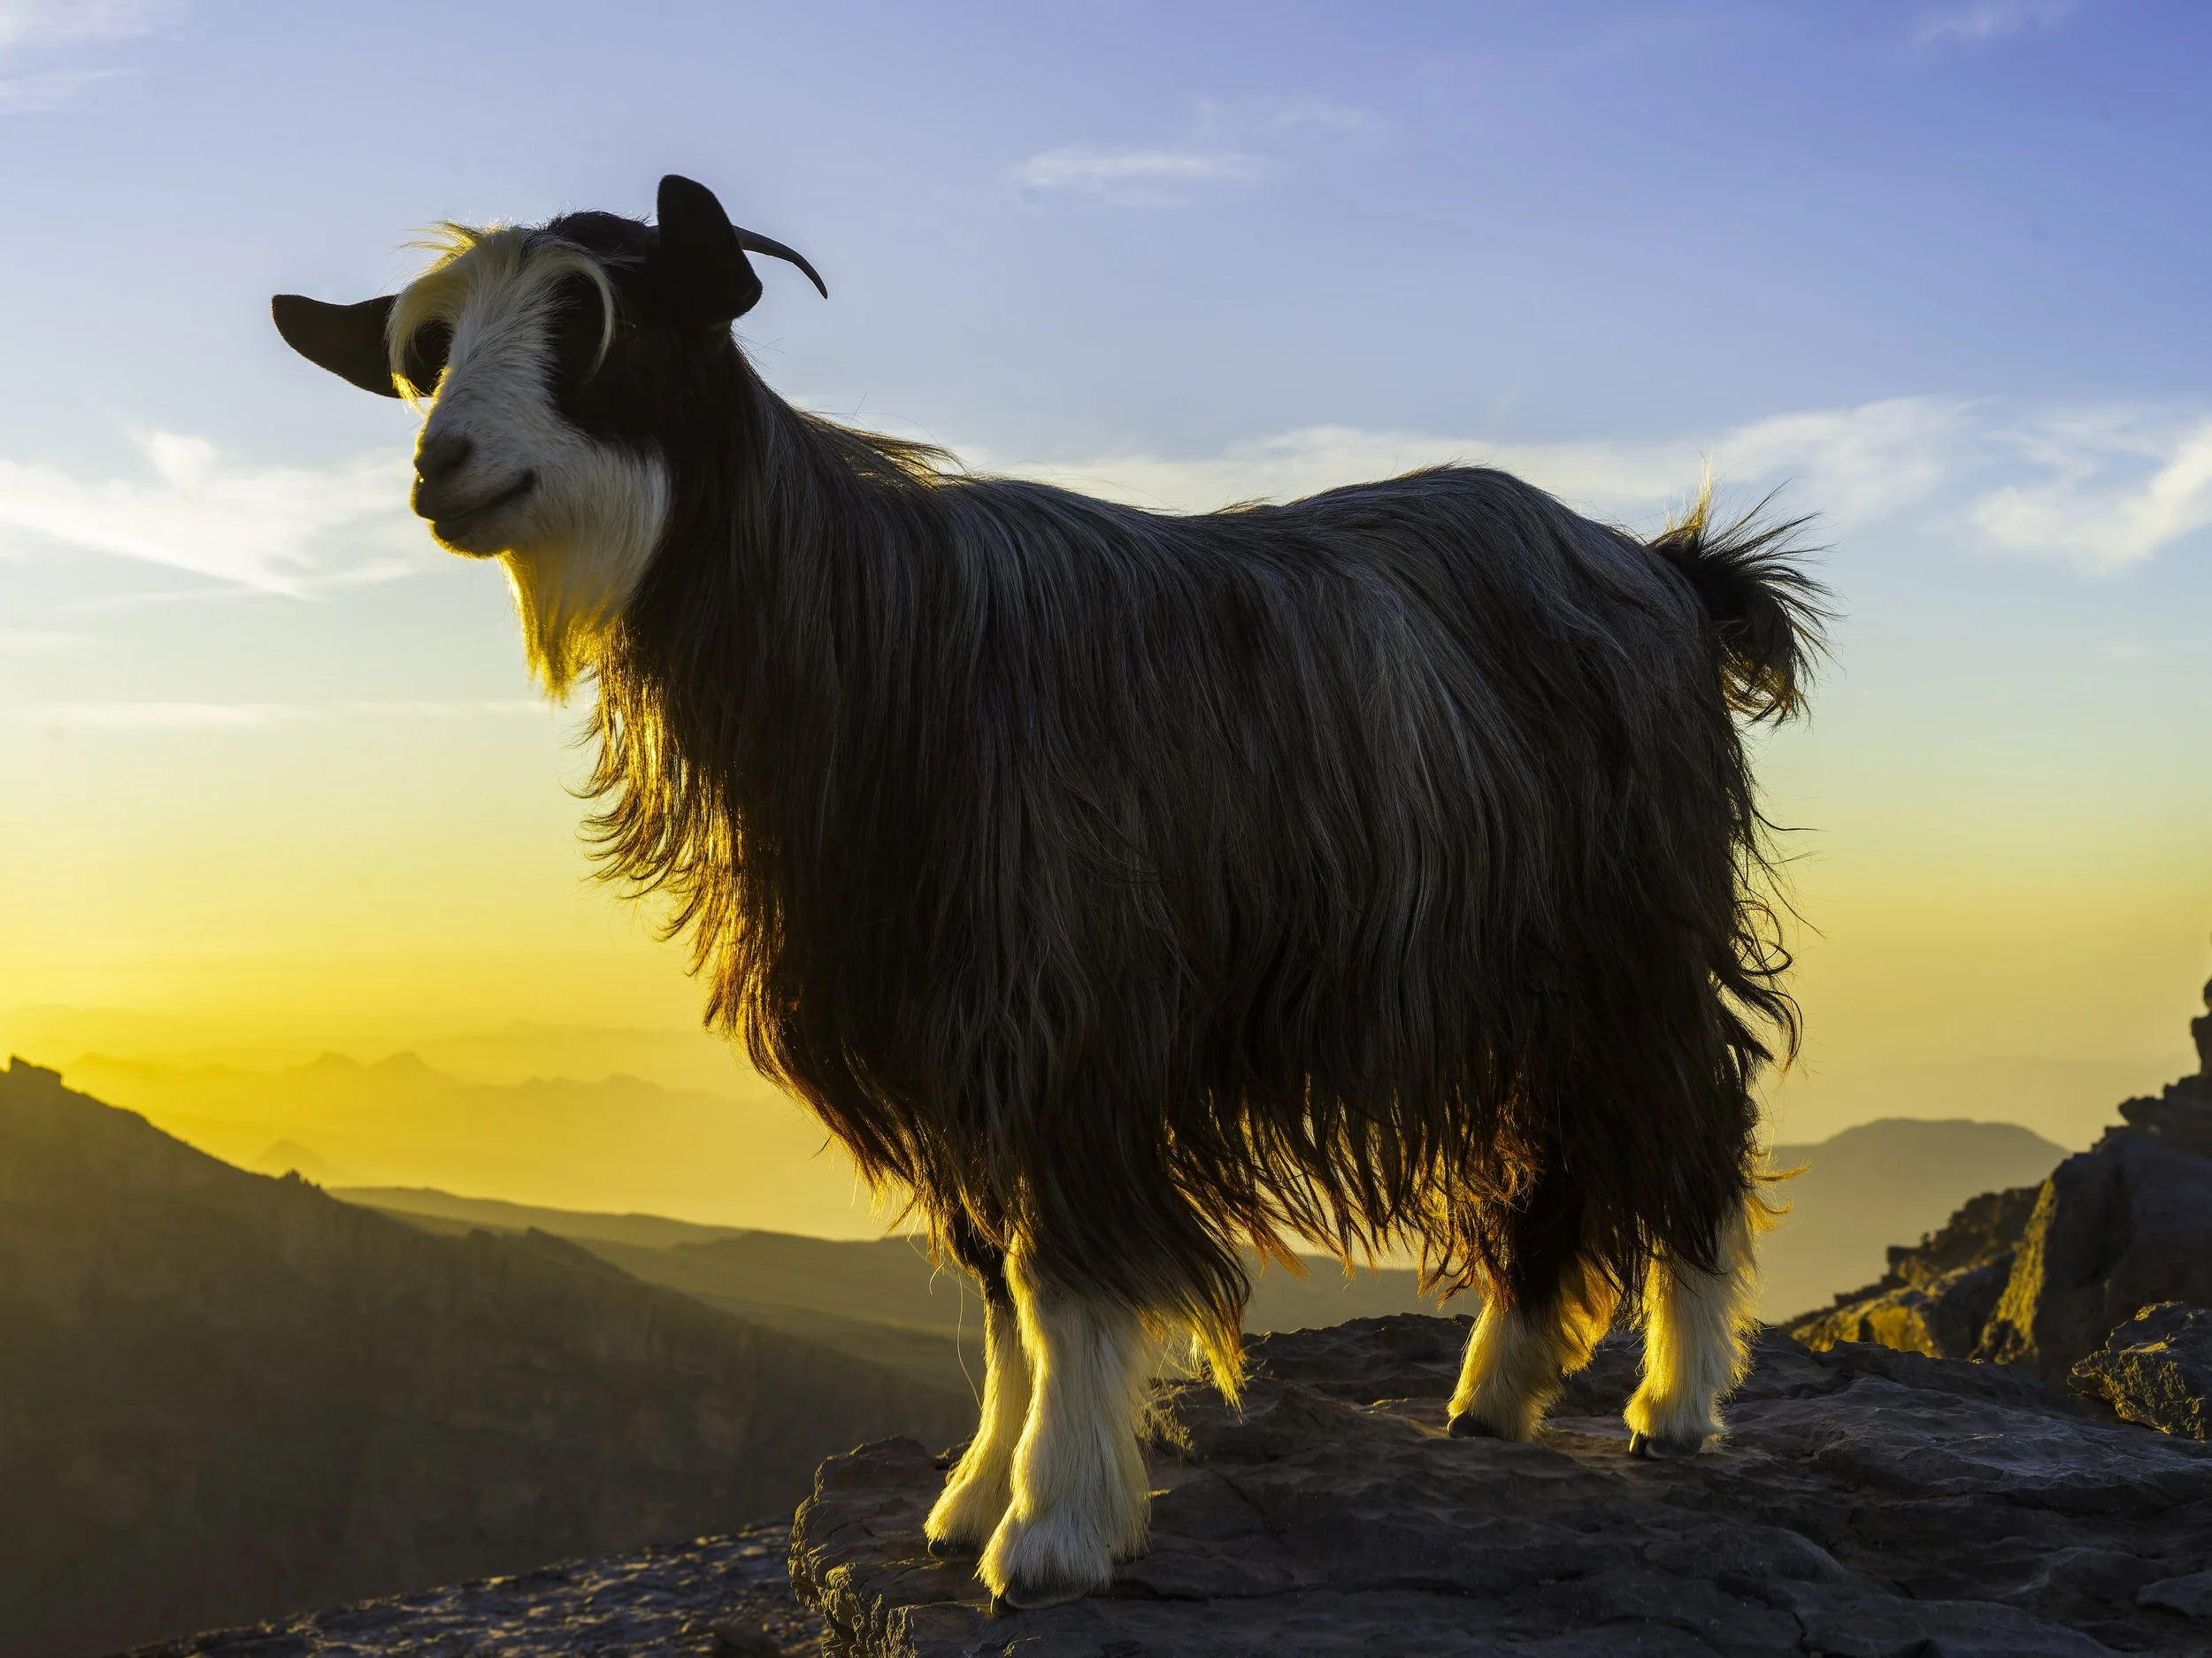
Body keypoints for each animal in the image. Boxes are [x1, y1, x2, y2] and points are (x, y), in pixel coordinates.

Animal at [273, 175, 1823, 1611]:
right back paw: (1496, 1388)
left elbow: (1059, 1272)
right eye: (431, 349)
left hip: (1633, 933)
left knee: (1690, 1112)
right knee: (1554, 1144)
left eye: (598, 322)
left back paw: (1675, 1405)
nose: (442, 463)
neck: (877, 642)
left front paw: (1052, 1528)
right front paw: (971, 1493)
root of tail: (1664, 571)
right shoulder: (939, 1040)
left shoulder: (1066, 1011)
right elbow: (993, 1276)